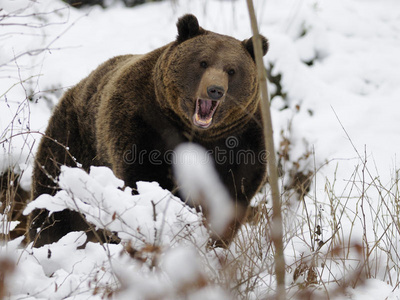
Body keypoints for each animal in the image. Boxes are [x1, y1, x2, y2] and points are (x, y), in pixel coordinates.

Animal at [28, 14, 268, 247]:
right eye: (203, 62)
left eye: (232, 70)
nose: (215, 89)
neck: (196, 132)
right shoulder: (142, 124)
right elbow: (144, 180)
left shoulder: (241, 141)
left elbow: (233, 194)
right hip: (71, 144)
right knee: (52, 205)